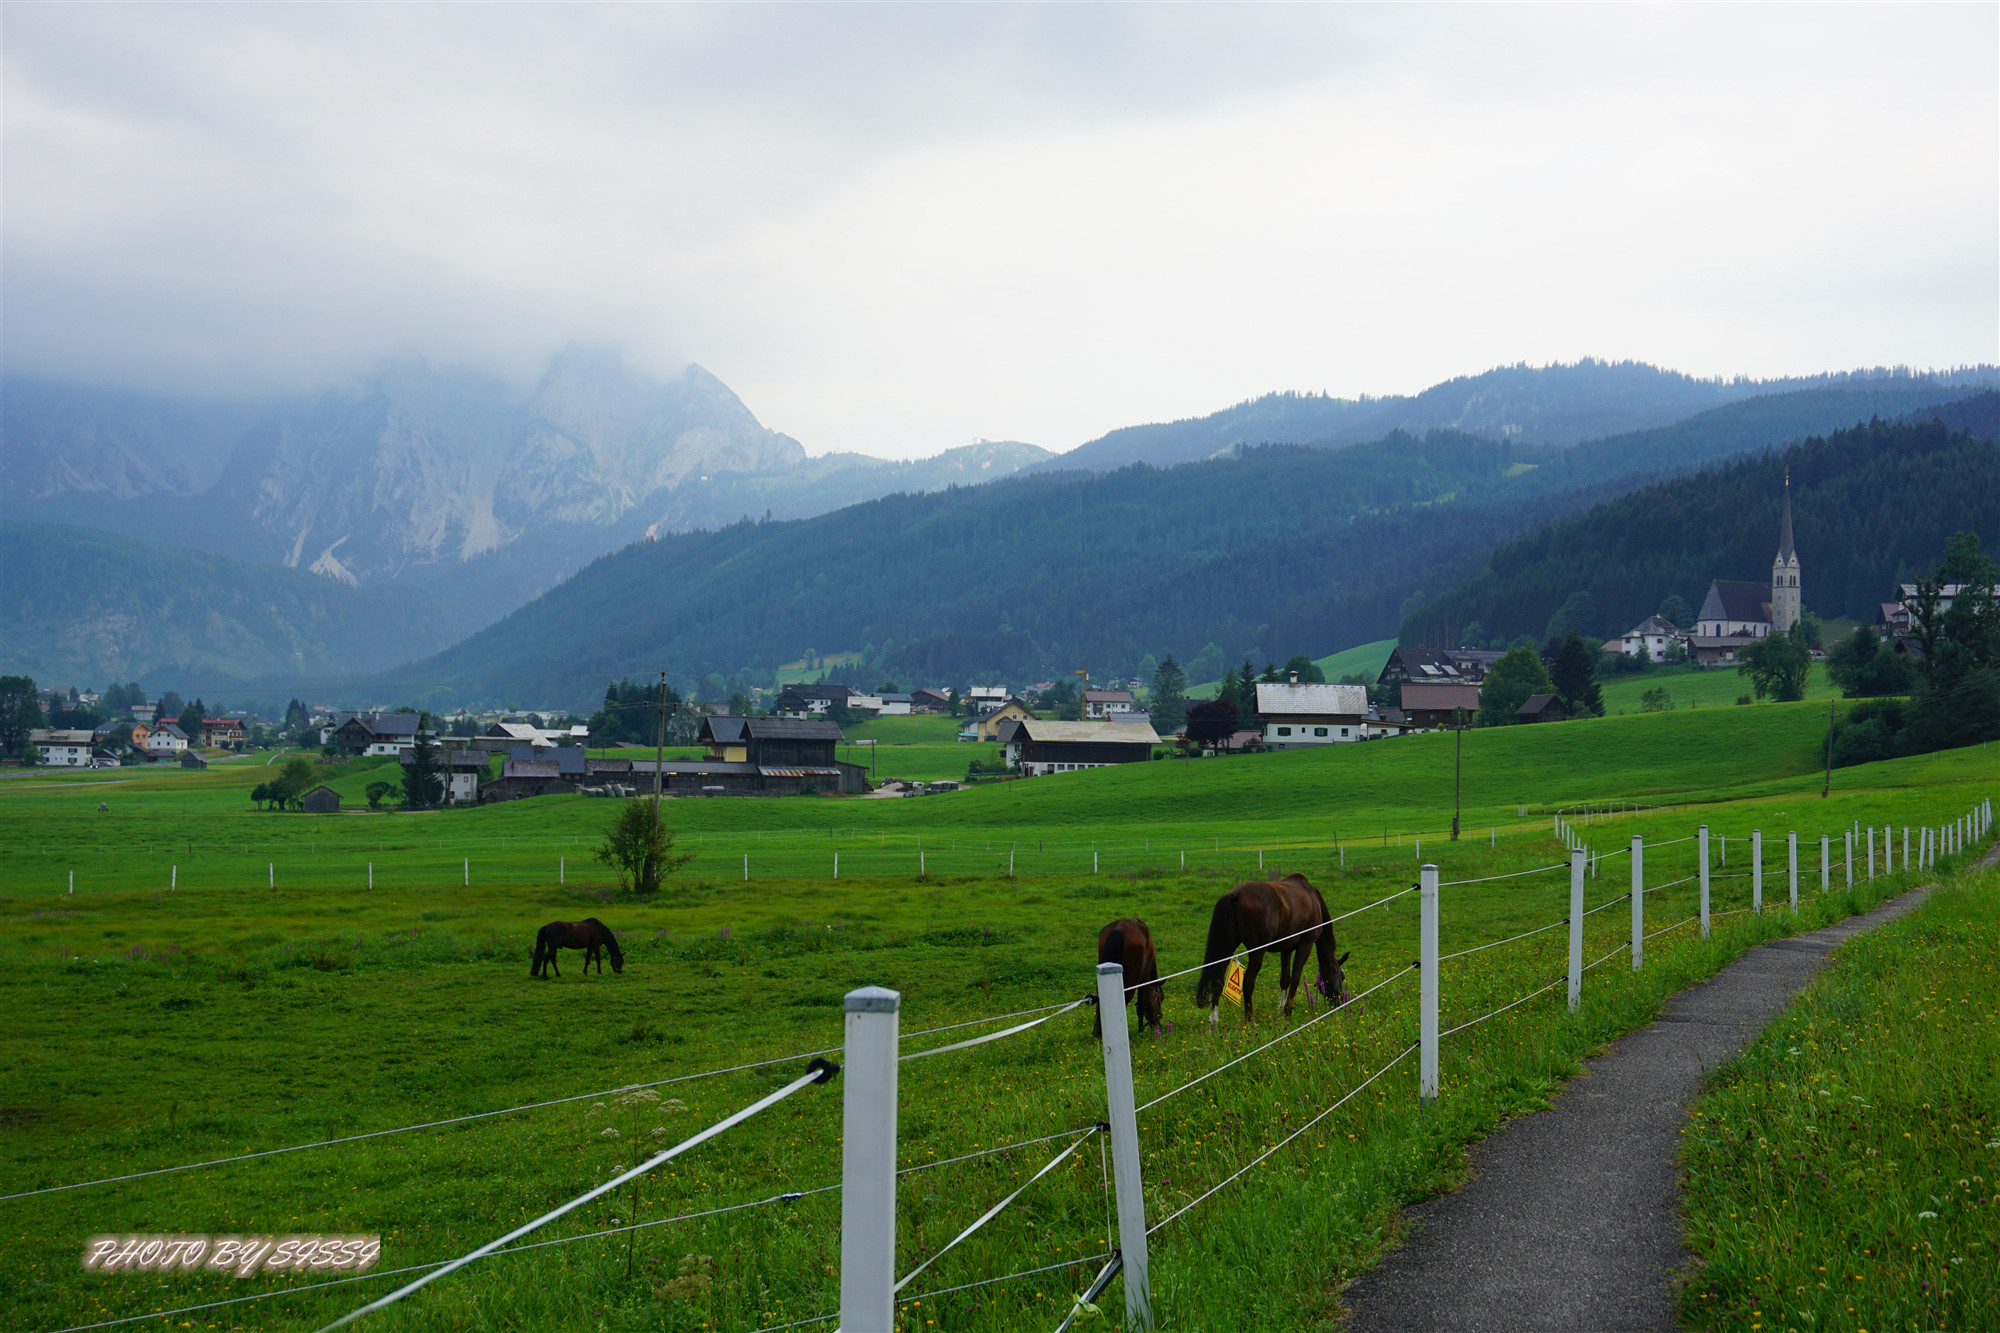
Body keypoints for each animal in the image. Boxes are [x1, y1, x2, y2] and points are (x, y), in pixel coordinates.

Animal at [1192, 868, 1352, 1020]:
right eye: (1342, 976)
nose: (1339, 1002)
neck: (1313, 900)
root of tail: (1235, 895)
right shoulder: (1305, 945)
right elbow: (1295, 978)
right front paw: (1288, 1010)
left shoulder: (1286, 949)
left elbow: (1285, 979)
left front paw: (1281, 1009)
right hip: (1257, 952)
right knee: (1248, 982)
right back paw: (1250, 1020)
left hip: (1226, 948)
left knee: (1217, 982)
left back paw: (1213, 1021)